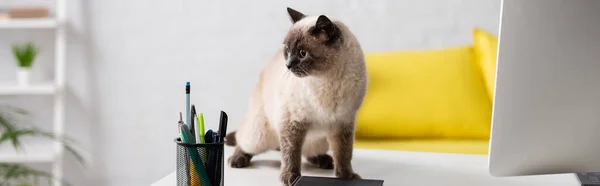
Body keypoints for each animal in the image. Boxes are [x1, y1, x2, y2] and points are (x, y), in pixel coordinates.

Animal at [224, 7, 366, 186]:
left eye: (303, 53)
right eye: (288, 51)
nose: (288, 65)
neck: (327, 80)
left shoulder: (343, 124)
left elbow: (344, 154)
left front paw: (347, 176)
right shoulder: (292, 123)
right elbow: (291, 155)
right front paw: (291, 177)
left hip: (320, 140)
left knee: (309, 151)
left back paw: (325, 161)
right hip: (260, 135)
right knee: (243, 141)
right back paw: (237, 159)